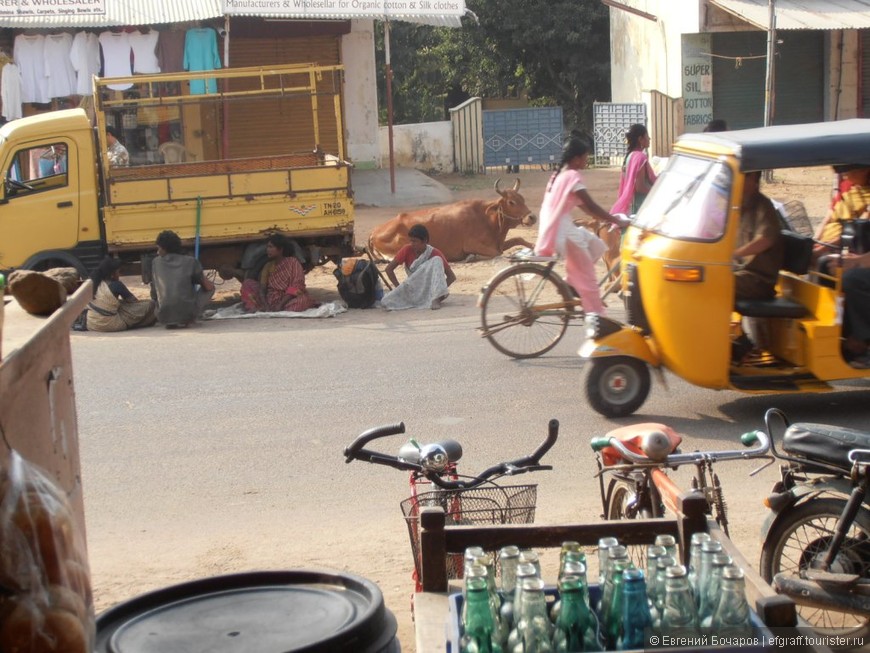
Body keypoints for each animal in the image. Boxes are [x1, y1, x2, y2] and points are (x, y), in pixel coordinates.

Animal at [364, 178, 536, 262]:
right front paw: (472, 257)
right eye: (511, 202)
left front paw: (534, 246)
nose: (532, 217)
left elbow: (518, 239)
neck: (486, 218)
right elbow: (497, 253)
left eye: (522, 199)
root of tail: (373, 232)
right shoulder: (472, 244)